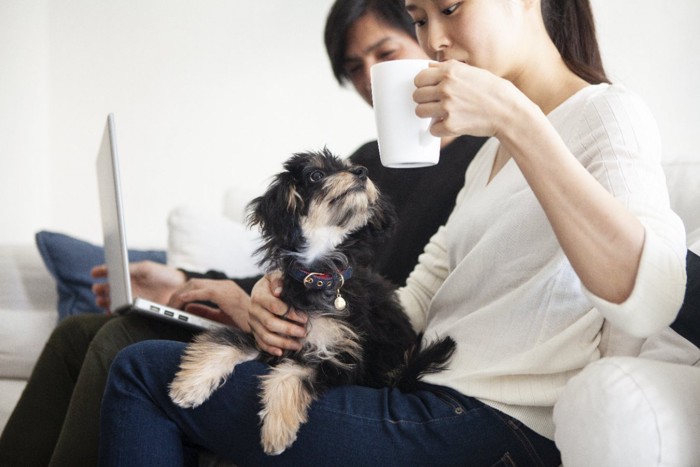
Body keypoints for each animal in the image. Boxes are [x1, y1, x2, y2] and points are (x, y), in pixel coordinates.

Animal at [169, 150, 454, 458]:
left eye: (351, 167)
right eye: (316, 175)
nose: (362, 172)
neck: (319, 275)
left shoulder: (343, 360)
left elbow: (291, 373)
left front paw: (276, 430)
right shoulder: (270, 337)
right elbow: (228, 340)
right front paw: (188, 387)